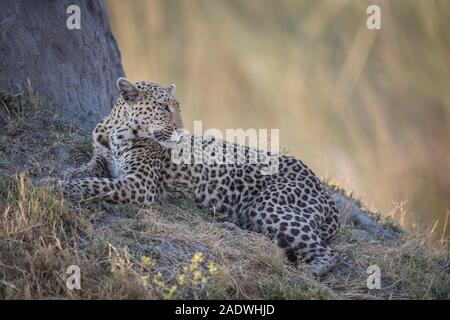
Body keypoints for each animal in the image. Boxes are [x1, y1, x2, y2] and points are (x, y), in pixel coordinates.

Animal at [61, 78, 340, 278]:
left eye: (178, 108)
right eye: (164, 107)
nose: (182, 130)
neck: (116, 131)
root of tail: (323, 191)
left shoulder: (140, 185)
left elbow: (98, 184)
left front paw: (62, 186)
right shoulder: (104, 158)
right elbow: (92, 169)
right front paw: (69, 174)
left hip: (267, 206)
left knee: (325, 251)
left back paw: (313, 269)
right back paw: (231, 227)